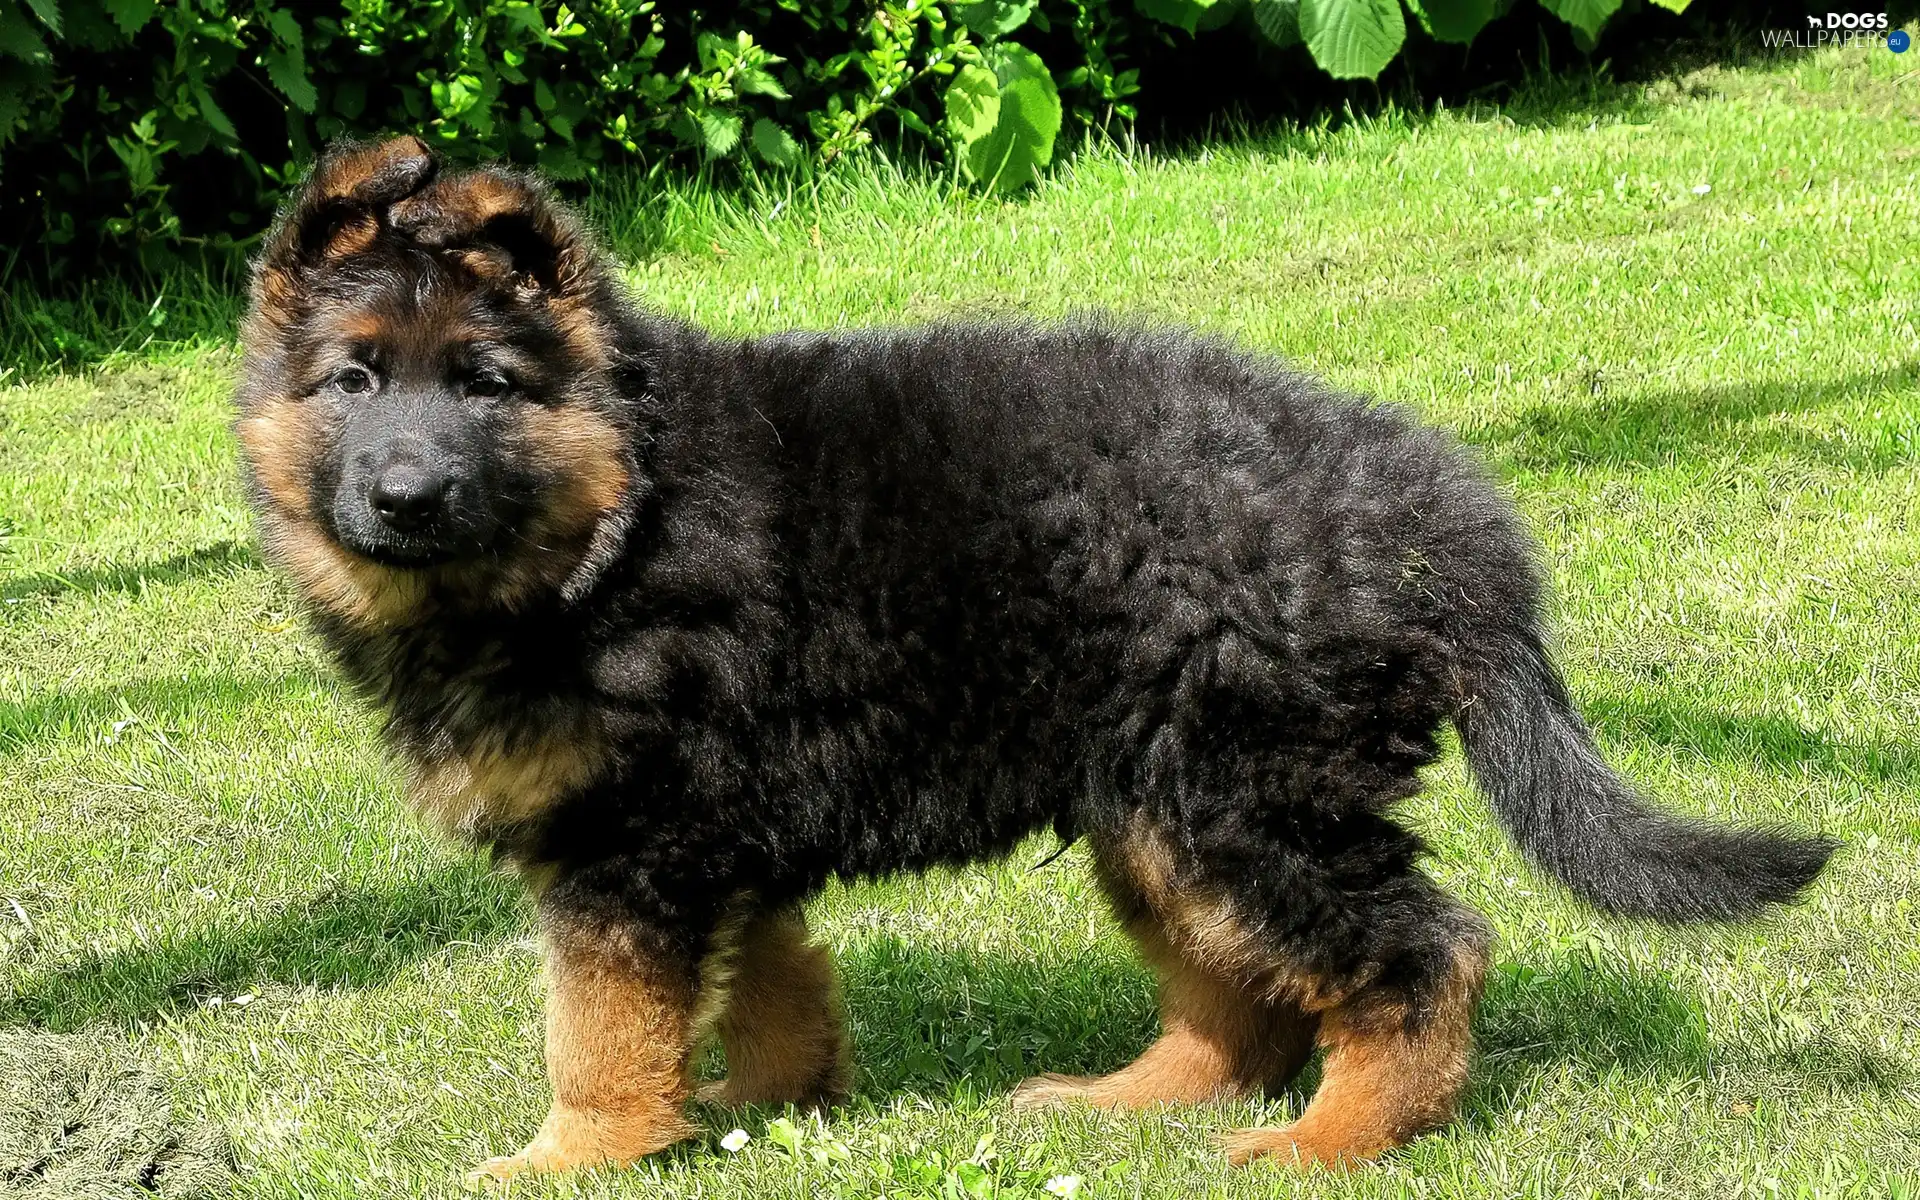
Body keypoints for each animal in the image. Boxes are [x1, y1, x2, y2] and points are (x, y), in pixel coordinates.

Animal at [232, 138, 1835, 1182]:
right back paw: (1134, 1102)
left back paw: (1337, 1139)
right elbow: (770, 978)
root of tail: (1441, 526)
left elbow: (600, 1031)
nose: (403, 497)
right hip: (1166, 798)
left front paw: (572, 1156)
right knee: (1242, 990)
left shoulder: (628, 849)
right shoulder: (722, 835)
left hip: (1251, 794)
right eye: (353, 381)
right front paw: (773, 1105)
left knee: (1415, 956)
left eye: (486, 386)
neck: (612, 518)